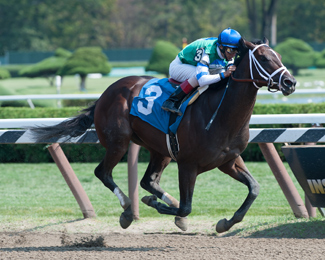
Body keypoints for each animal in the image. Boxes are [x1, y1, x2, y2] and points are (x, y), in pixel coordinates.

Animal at [31, 38, 294, 234]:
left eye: (280, 55)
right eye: (263, 58)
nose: (290, 82)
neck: (220, 113)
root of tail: (107, 92)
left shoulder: (229, 161)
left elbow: (254, 188)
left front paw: (225, 223)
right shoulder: (188, 164)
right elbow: (187, 207)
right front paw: (155, 205)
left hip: (161, 150)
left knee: (148, 181)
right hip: (118, 142)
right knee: (103, 172)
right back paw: (128, 210)